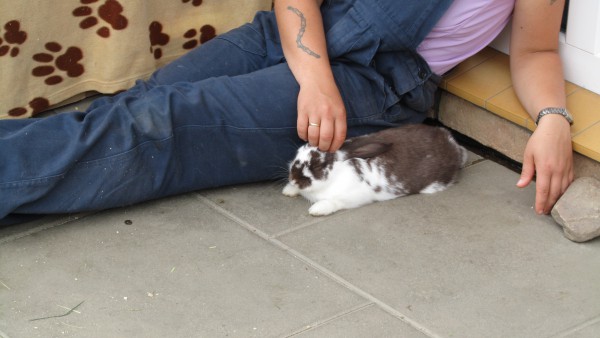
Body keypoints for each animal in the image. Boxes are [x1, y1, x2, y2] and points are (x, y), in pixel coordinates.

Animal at [282, 124, 468, 217]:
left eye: (318, 166)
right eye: (297, 153)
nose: (293, 178)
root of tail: (453, 144)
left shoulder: (353, 196)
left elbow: (333, 202)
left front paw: (316, 210)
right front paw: (288, 190)